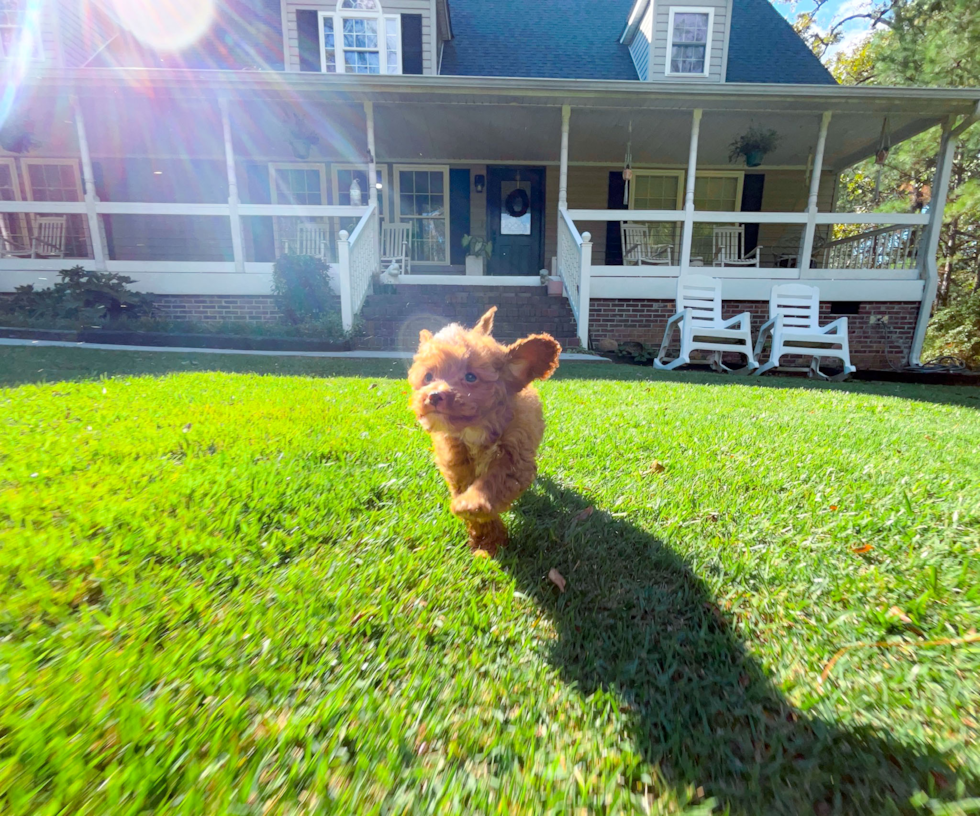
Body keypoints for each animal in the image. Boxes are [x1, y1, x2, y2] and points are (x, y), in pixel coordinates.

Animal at [406, 306, 560, 556]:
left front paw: (472, 503)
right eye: (428, 377)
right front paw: (487, 541)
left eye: (471, 377)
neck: (475, 430)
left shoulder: (514, 459)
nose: (434, 396)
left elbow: (492, 482)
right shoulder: (458, 466)